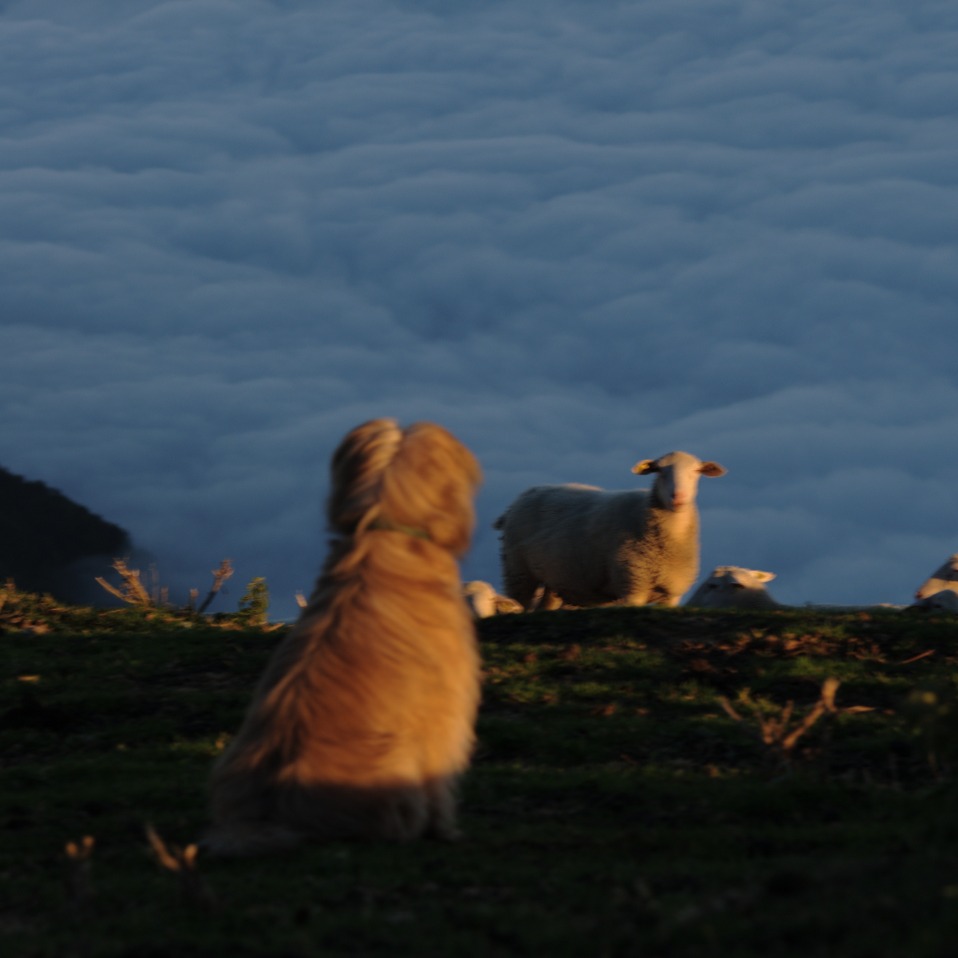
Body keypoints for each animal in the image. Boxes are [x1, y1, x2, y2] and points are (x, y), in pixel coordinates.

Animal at [496, 450, 728, 608]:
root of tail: (525, 494)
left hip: (552, 578)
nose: (678, 497)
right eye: (659, 471)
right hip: (518, 571)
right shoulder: (632, 585)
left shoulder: (672, 594)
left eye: (696, 472)